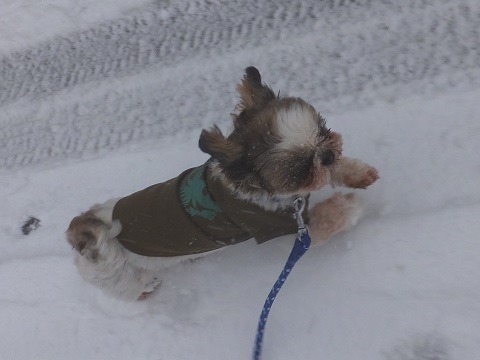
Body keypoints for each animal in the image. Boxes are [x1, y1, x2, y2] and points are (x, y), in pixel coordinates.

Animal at [66, 66, 378, 300]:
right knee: (134, 290)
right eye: (300, 168)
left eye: (323, 130)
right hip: (124, 280)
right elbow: (325, 222)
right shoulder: (285, 231)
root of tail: (84, 231)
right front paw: (349, 206)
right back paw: (149, 292)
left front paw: (357, 173)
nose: (327, 154)